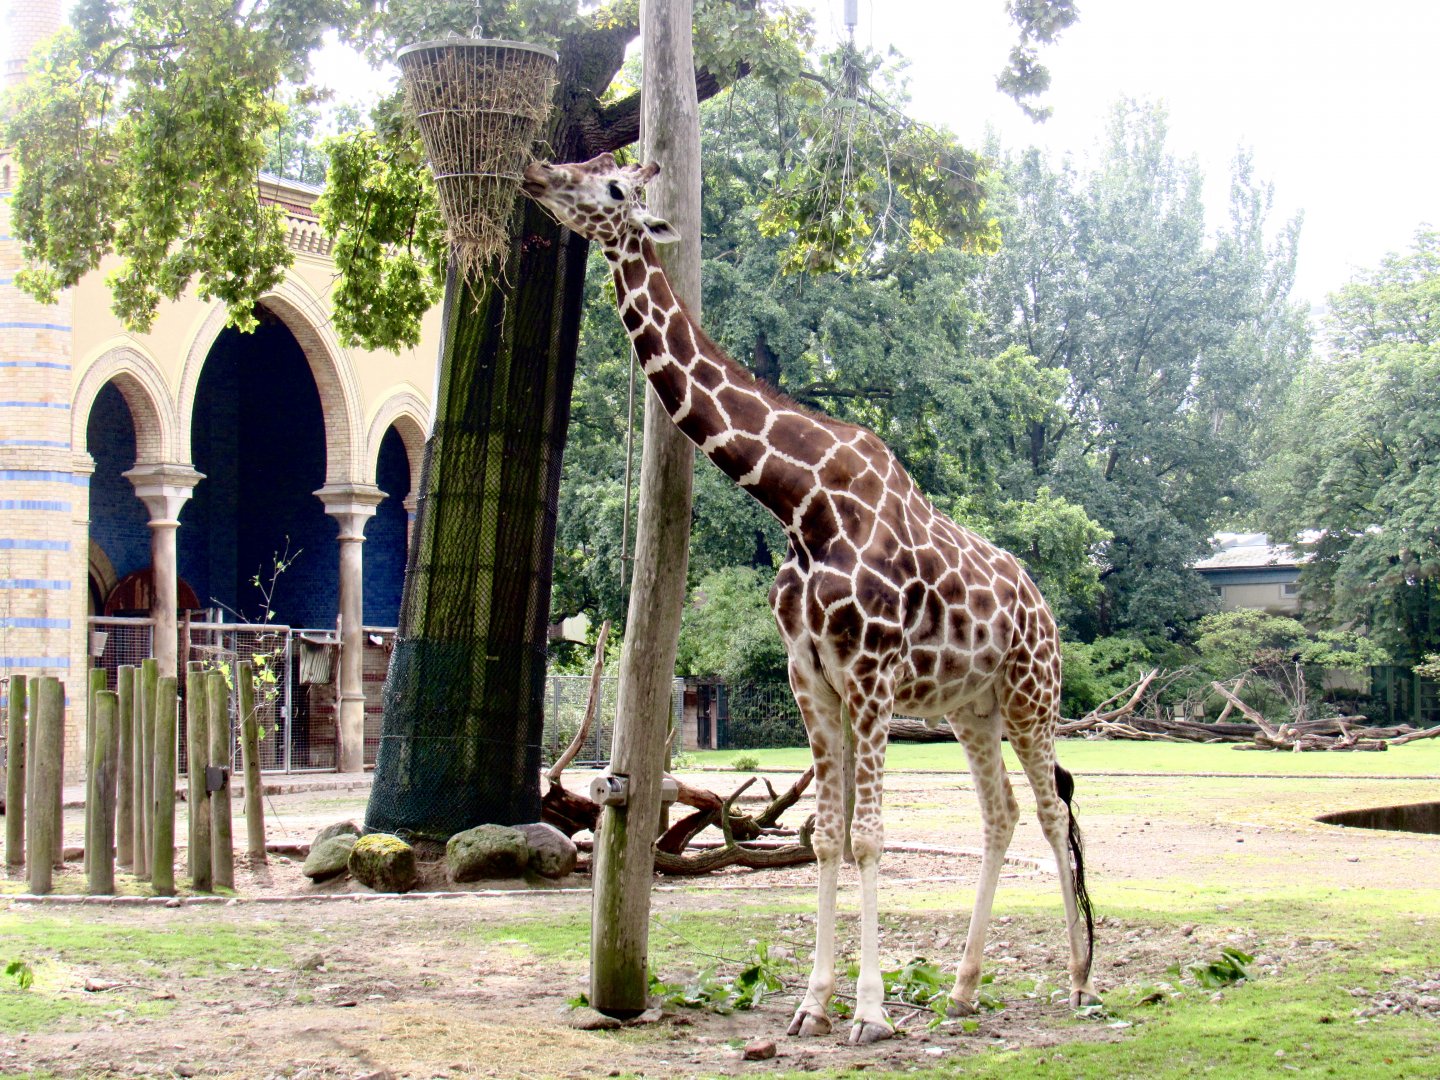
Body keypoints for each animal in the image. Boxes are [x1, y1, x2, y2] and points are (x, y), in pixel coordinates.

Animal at [522, 153, 1100, 1044]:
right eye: (585, 168)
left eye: (615, 187)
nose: (537, 171)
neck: (799, 503)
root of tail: (1043, 608)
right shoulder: (812, 680)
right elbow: (826, 837)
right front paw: (813, 1004)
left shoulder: (871, 675)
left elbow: (869, 837)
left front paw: (869, 1012)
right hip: (972, 708)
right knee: (1001, 812)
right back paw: (964, 989)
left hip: (1033, 697)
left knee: (1049, 810)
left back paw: (1076, 983)